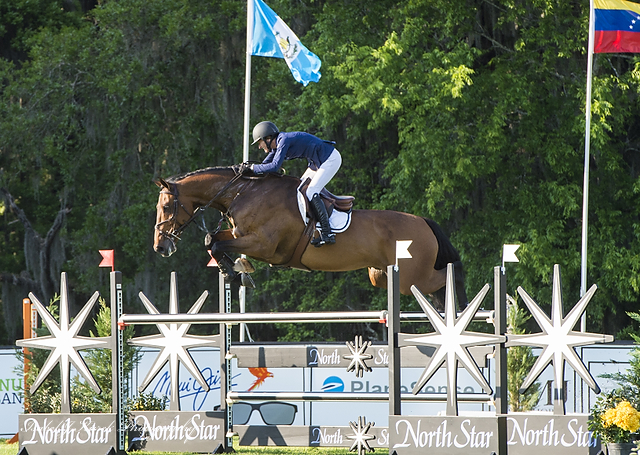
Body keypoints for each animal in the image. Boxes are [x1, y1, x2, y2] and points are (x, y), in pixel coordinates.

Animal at [152, 166, 468, 312]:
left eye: (166, 207)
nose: (160, 247)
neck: (245, 193)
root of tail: (424, 222)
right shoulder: (242, 235)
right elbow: (212, 240)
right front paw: (237, 270)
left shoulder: (263, 245)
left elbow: (216, 242)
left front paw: (237, 272)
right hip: (381, 275)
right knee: (438, 290)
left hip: (414, 277)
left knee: (449, 275)